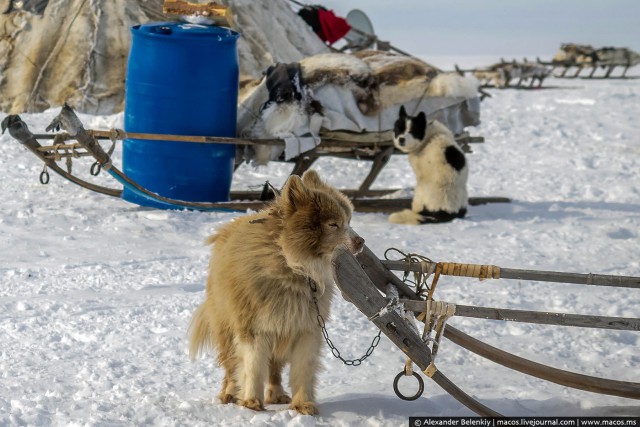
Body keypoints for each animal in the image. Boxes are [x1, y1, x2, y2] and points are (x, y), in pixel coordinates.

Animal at [188, 170, 362, 414]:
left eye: (348, 221)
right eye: (333, 224)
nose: (361, 242)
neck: (292, 265)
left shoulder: (305, 327)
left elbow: (303, 368)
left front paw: (303, 404)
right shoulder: (254, 326)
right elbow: (252, 365)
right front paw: (251, 402)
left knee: (274, 368)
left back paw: (277, 394)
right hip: (227, 325)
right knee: (231, 366)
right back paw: (230, 393)